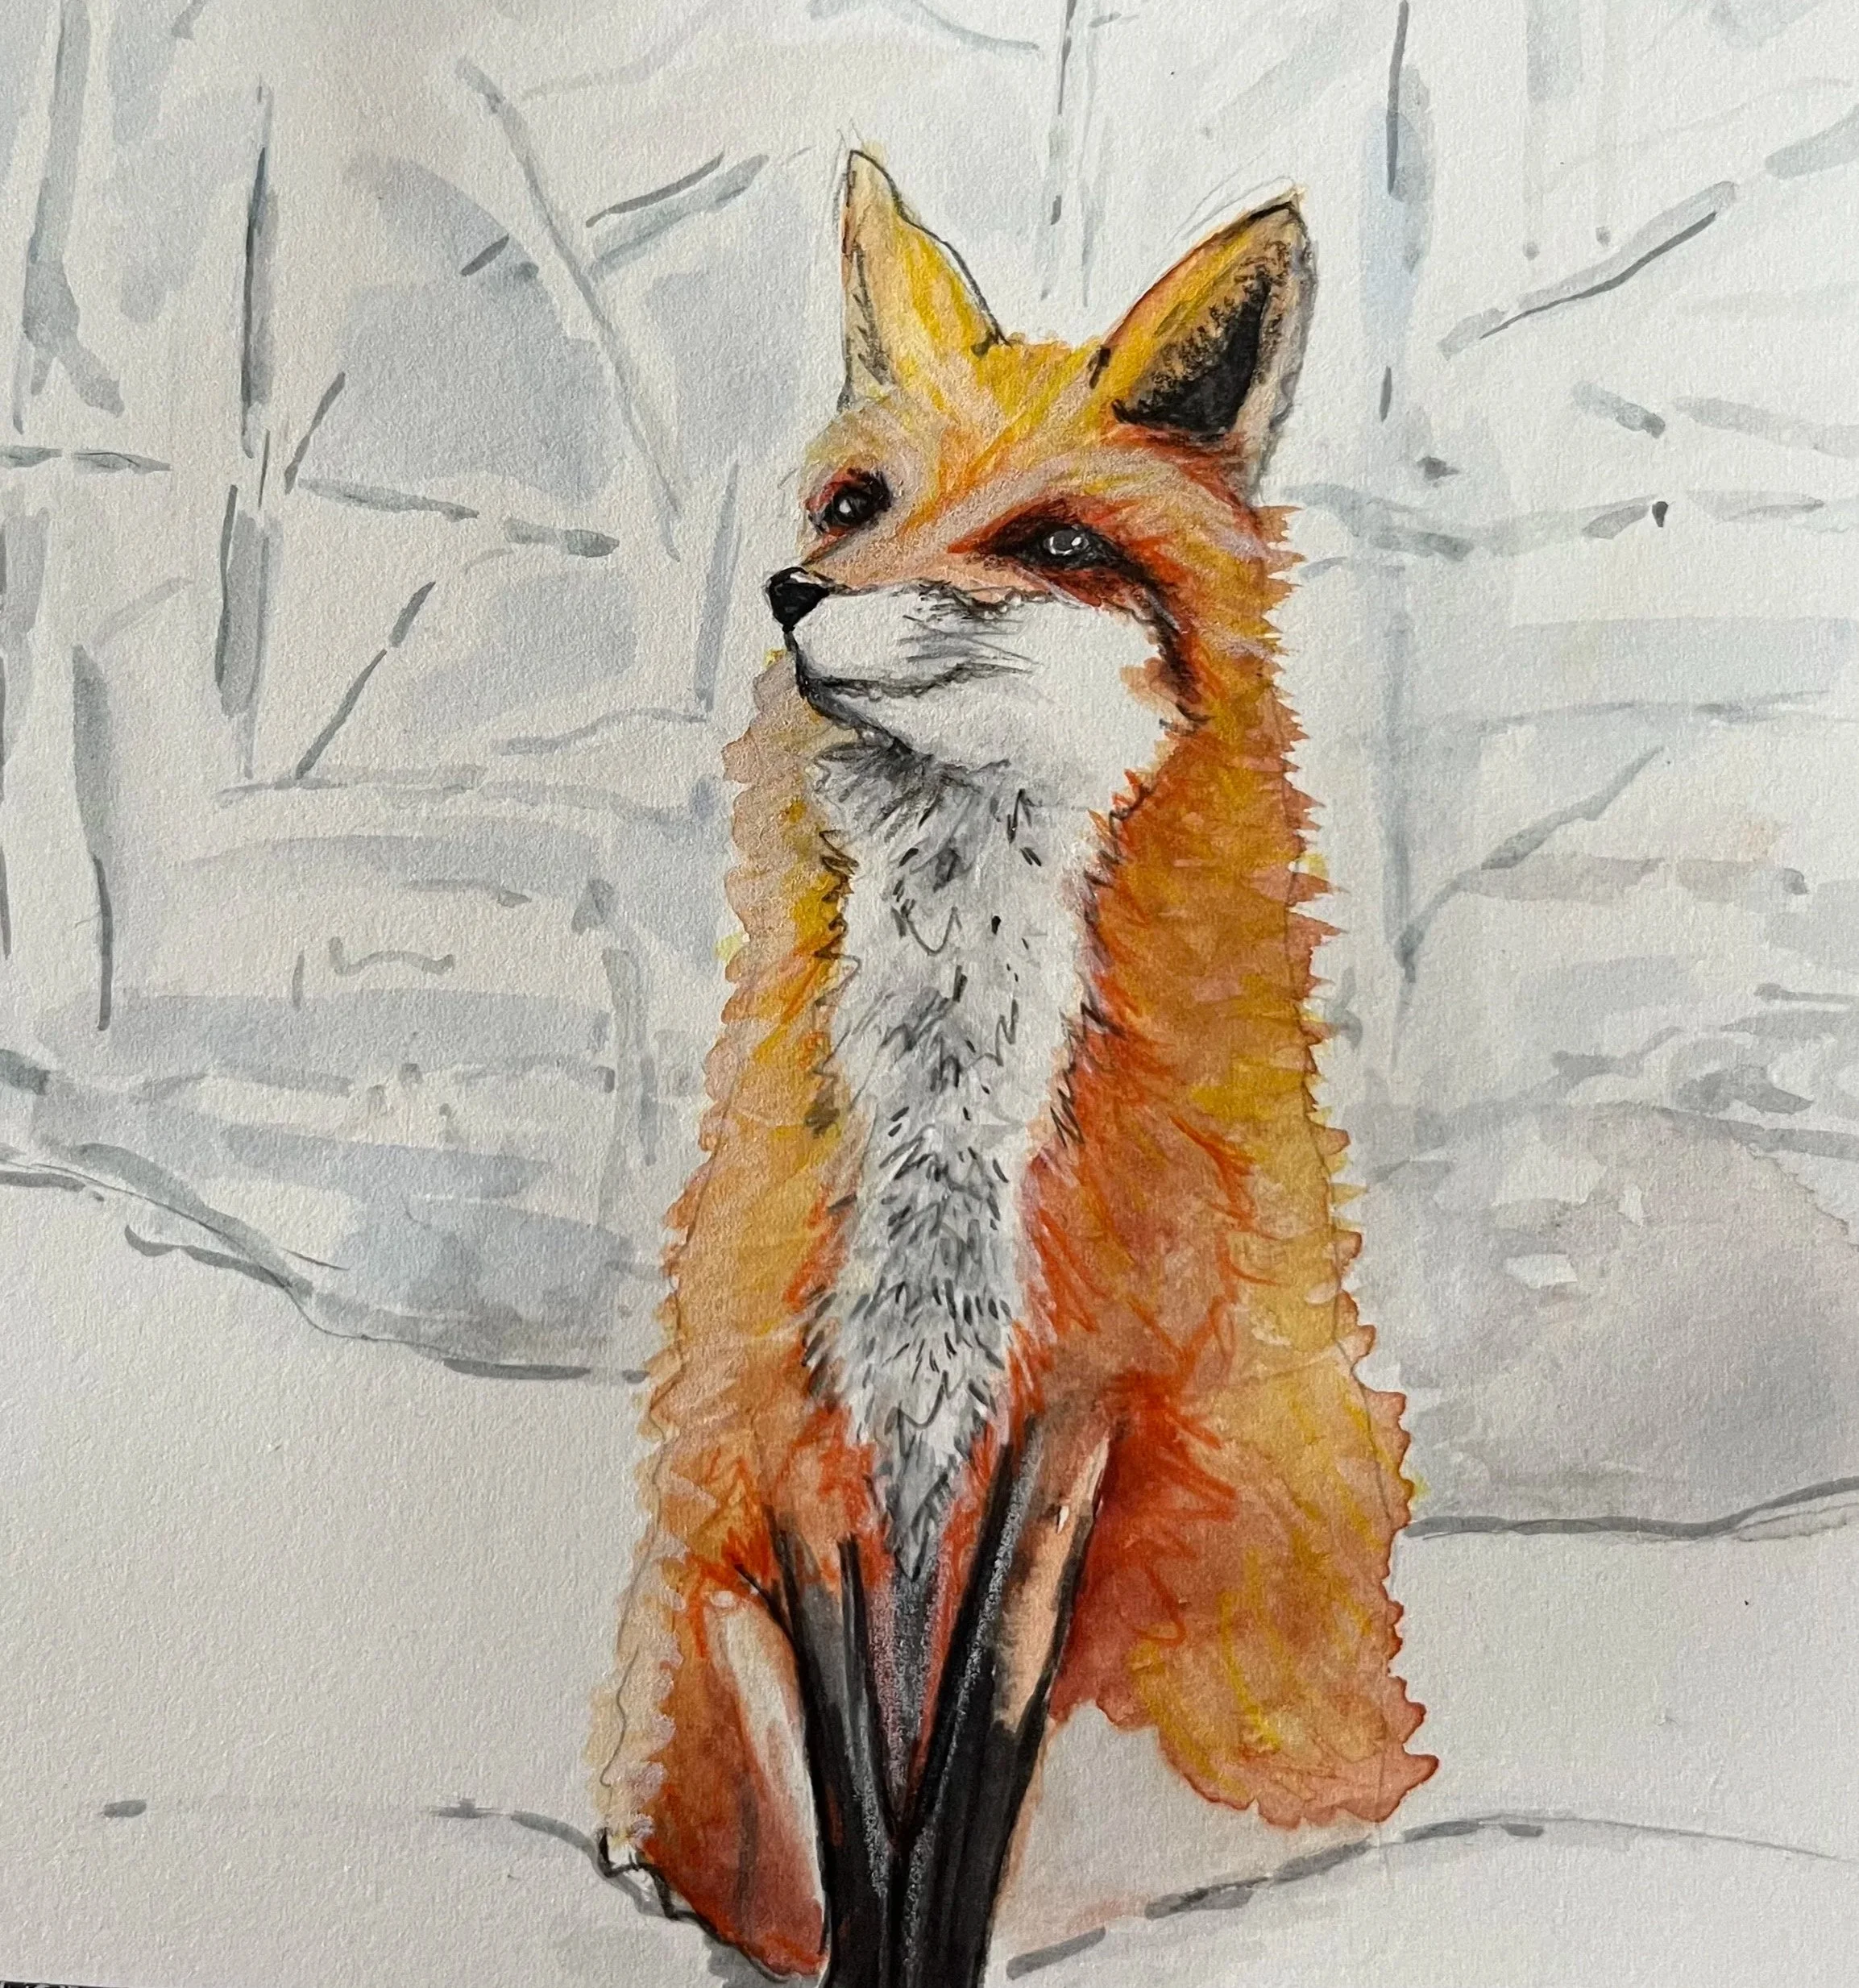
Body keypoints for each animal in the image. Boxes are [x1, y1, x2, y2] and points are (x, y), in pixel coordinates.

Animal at [591, 152, 1433, 1988]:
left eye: (1053, 542)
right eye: (852, 505)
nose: (797, 597)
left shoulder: (1076, 1402)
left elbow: (972, 1751)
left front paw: (934, 1948)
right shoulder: (799, 1411)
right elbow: (863, 1796)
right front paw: (871, 1961)